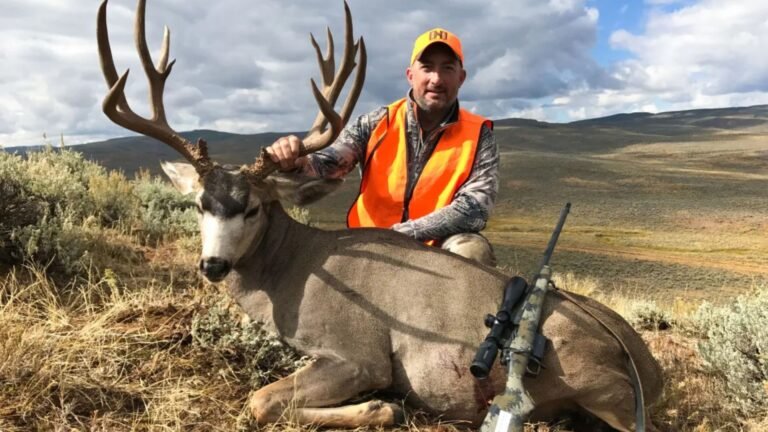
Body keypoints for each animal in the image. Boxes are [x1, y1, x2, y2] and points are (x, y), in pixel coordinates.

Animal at [97, 1, 664, 430]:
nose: (212, 265)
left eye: (253, 206)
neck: (292, 272)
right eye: (200, 204)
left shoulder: (358, 353)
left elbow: (262, 400)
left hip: (604, 391)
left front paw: (382, 406)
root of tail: (646, 369)